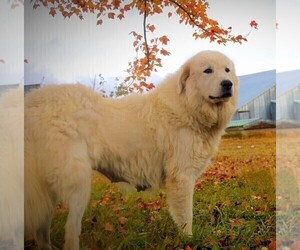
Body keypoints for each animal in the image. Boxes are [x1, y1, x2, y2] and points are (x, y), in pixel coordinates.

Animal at [24, 50, 238, 248]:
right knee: (70, 232)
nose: (228, 84)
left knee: (41, 232)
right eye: (208, 70)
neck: (187, 105)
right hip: (78, 182)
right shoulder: (181, 178)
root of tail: (32, 103)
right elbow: (186, 217)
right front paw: (189, 241)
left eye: (227, 70)